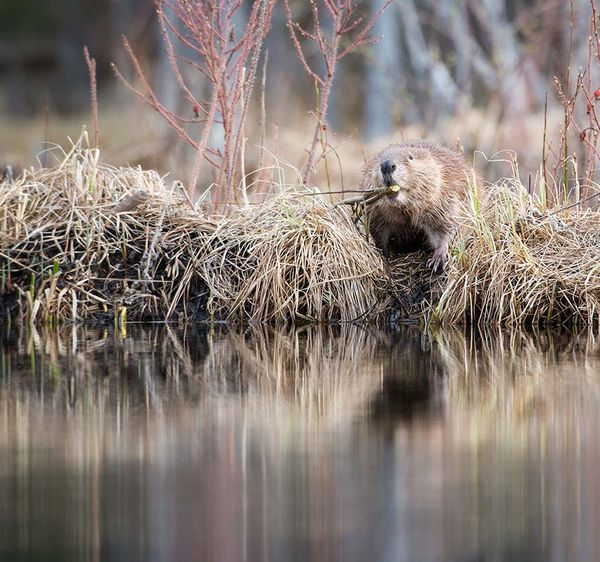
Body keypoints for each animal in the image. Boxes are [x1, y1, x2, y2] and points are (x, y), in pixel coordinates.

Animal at [360, 139, 478, 272]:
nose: (387, 165)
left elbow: (447, 227)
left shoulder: (445, 199)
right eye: (380, 159)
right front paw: (383, 255)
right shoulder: (377, 212)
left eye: (410, 157)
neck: (405, 209)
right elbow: (379, 233)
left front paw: (437, 260)